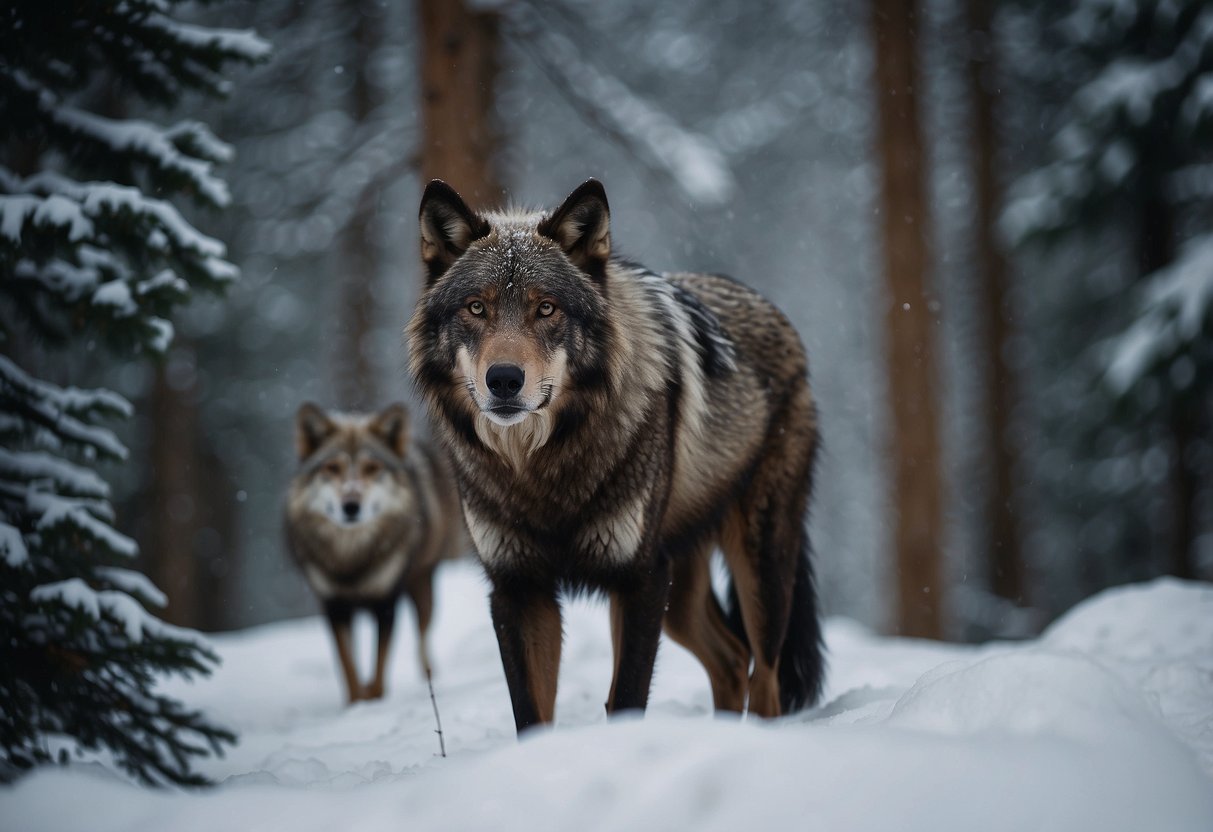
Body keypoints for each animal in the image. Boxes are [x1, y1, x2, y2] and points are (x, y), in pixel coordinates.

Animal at [283, 405, 463, 703]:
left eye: (371, 468)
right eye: (332, 468)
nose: (351, 506)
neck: (352, 559)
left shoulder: (386, 603)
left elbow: (379, 668)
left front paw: (375, 699)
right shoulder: (334, 606)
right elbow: (348, 667)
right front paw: (356, 703)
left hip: (422, 587)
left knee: (422, 638)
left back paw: (428, 677)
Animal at [407, 179, 824, 732]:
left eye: (546, 308)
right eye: (477, 308)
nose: (504, 380)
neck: (541, 469)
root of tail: (773, 310)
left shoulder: (640, 579)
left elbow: (626, 697)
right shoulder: (519, 589)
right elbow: (531, 715)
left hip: (759, 569)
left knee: (766, 677)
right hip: (681, 594)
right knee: (734, 660)